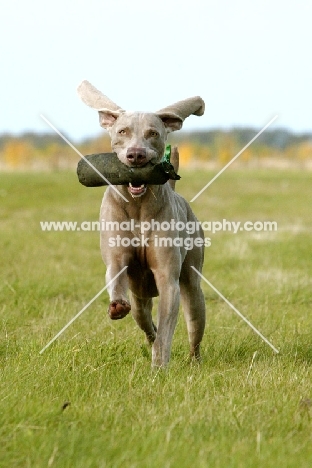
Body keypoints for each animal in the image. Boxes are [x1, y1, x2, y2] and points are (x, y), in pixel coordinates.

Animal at [77, 79, 206, 366]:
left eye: (153, 133)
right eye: (122, 131)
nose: (135, 155)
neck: (138, 208)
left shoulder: (168, 279)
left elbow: (167, 329)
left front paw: (159, 365)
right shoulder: (116, 258)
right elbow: (115, 272)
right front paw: (116, 306)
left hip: (193, 288)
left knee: (193, 322)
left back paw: (193, 361)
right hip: (139, 299)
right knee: (144, 321)